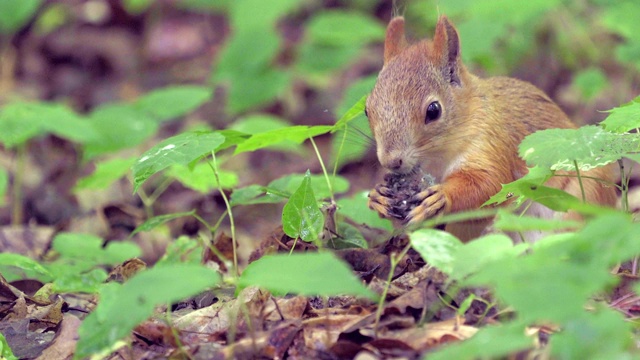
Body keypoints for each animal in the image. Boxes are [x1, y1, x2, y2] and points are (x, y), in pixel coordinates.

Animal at [362, 16, 616, 242]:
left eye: (433, 110)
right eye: (367, 109)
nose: (391, 161)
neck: (437, 157)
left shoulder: (491, 142)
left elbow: (490, 184)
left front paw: (441, 196)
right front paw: (377, 198)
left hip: (587, 194)